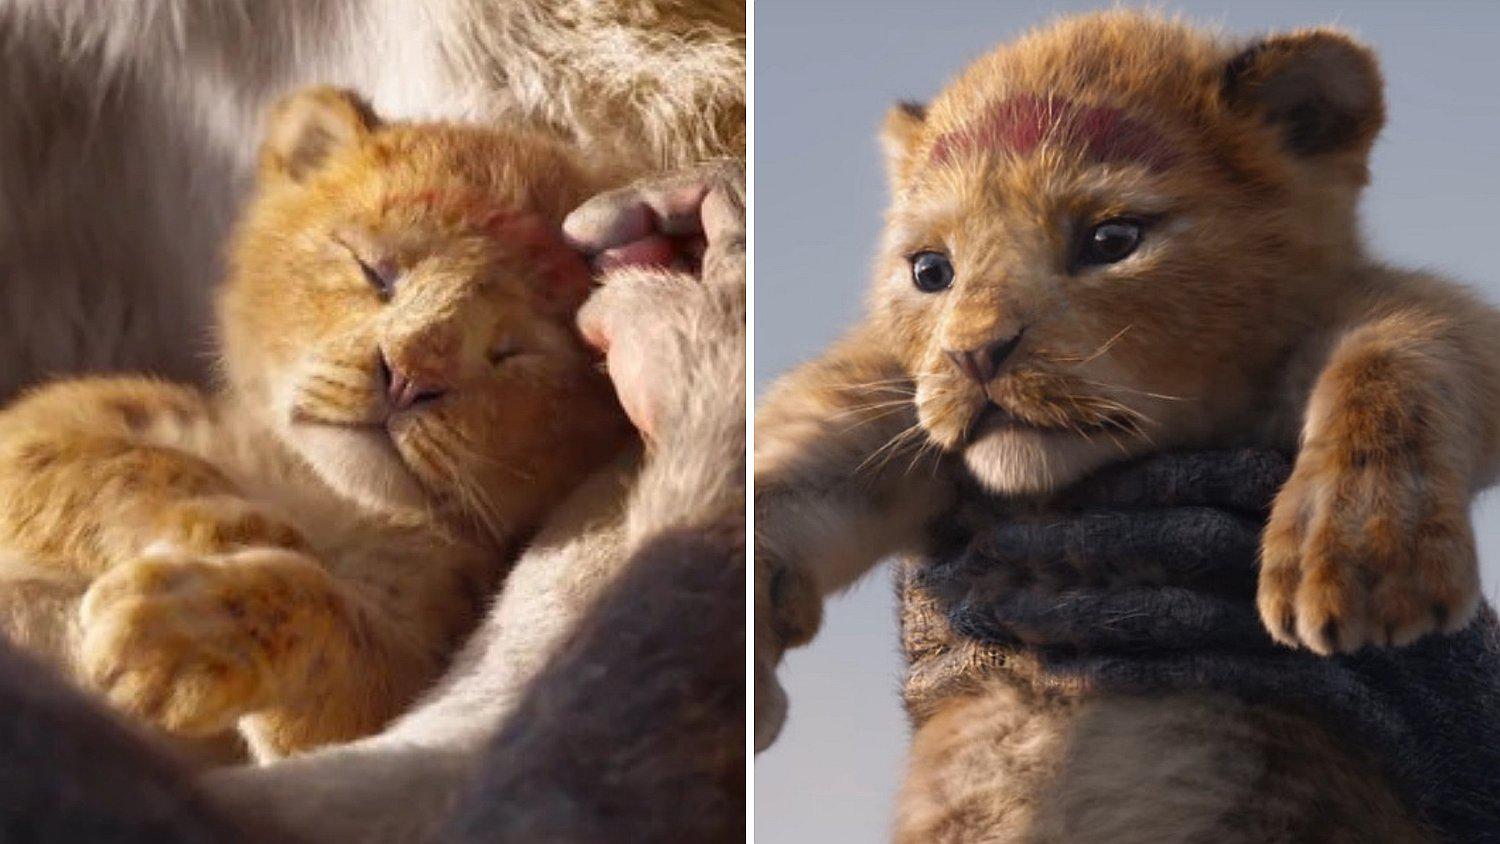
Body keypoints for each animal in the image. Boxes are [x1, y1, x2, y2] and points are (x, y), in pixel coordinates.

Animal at [757, 11, 1497, 840]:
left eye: (1112, 241)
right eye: (930, 270)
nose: (975, 354)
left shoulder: (1386, 317)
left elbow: (1399, 346)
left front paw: (1360, 549)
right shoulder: (896, 394)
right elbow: (799, 444)